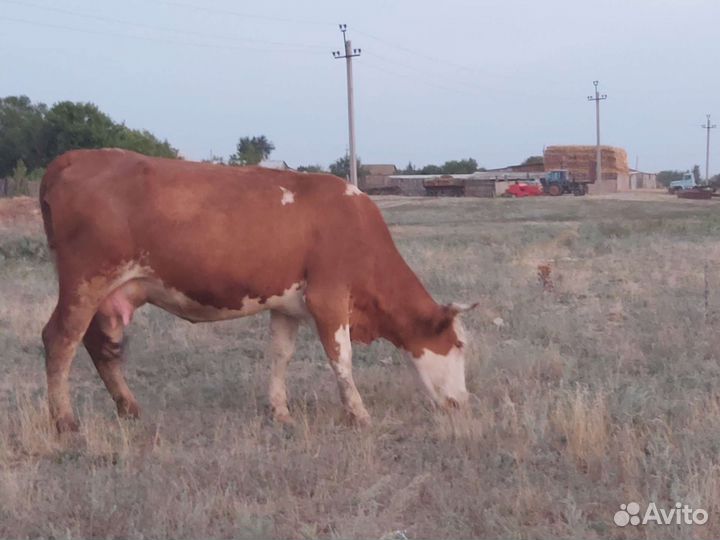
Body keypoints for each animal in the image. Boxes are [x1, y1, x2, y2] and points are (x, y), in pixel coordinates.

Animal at [39, 149, 475, 432]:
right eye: (458, 345)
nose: (463, 403)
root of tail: (76, 157)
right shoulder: (329, 298)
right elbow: (342, 358)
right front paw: (358, 414)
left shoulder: (287, 305)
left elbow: (280, 355)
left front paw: (279, 410)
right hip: (85, 281)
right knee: (60, 339)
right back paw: (65, 421)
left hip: (110, 295)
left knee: (100, 346)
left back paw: (129, 409)